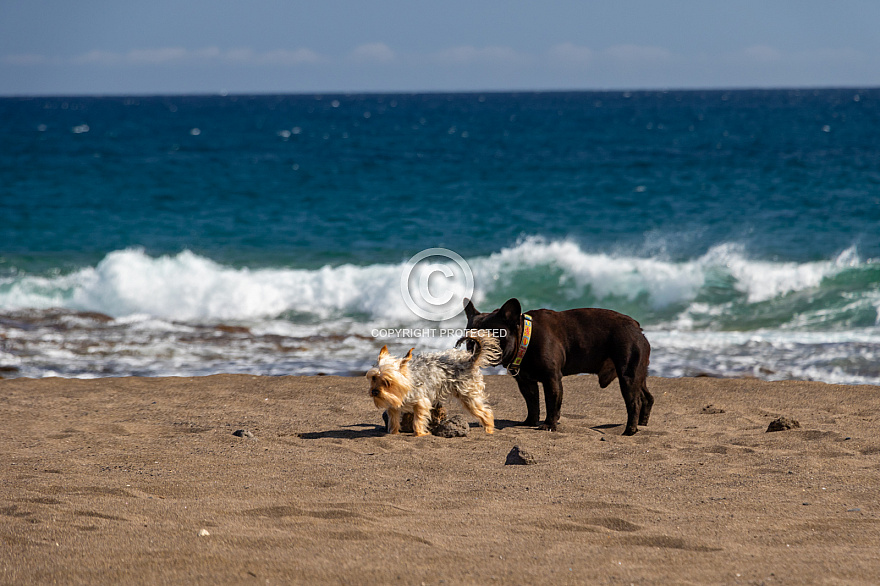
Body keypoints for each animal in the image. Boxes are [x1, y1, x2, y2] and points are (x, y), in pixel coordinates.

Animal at [464, 298, 648, 432]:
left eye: (489, 337)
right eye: (466, 337)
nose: (472, 345)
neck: (525, 337)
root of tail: (635, 325)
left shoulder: (551, 379)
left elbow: (552, 402)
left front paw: (548, 425)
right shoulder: (526, 382)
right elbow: (532, 403)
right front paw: (530, 422)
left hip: (628, 375)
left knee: (634, 402)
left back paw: (630, 430)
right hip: (638, 375)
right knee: (646, 397)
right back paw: (642, 423)